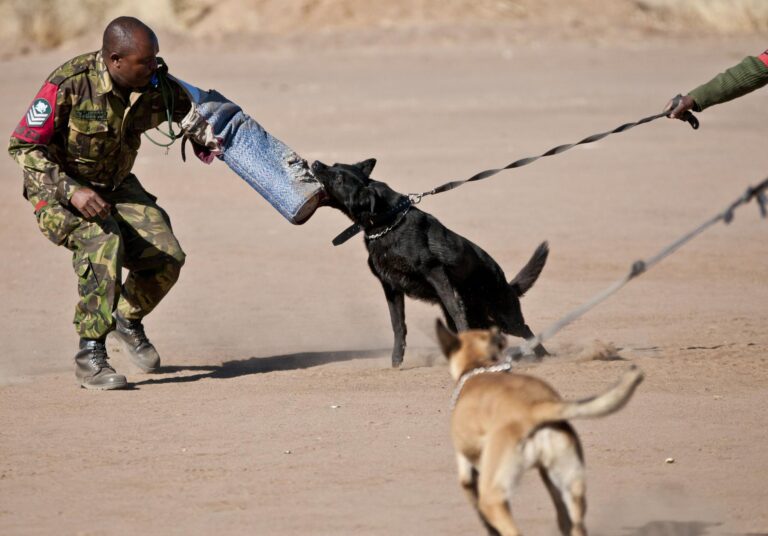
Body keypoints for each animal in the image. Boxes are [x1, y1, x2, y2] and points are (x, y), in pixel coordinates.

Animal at [308, 159, 548, 366]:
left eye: (339, 178)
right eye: (335, 165)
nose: (316, 163)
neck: (386, 223)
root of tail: (506, 282)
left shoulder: (435, 273)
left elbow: (455, 310)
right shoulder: (390, 286)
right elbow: (398, 325)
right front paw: (397, 358)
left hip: (503, 314)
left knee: (525, 329)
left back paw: (544, 356)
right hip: (485, 319)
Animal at [436, 320, 644, 532]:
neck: (478, 364)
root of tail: (531, 409)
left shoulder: (467, 473)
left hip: (493, 496)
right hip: (570, 484)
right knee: (572, 522)